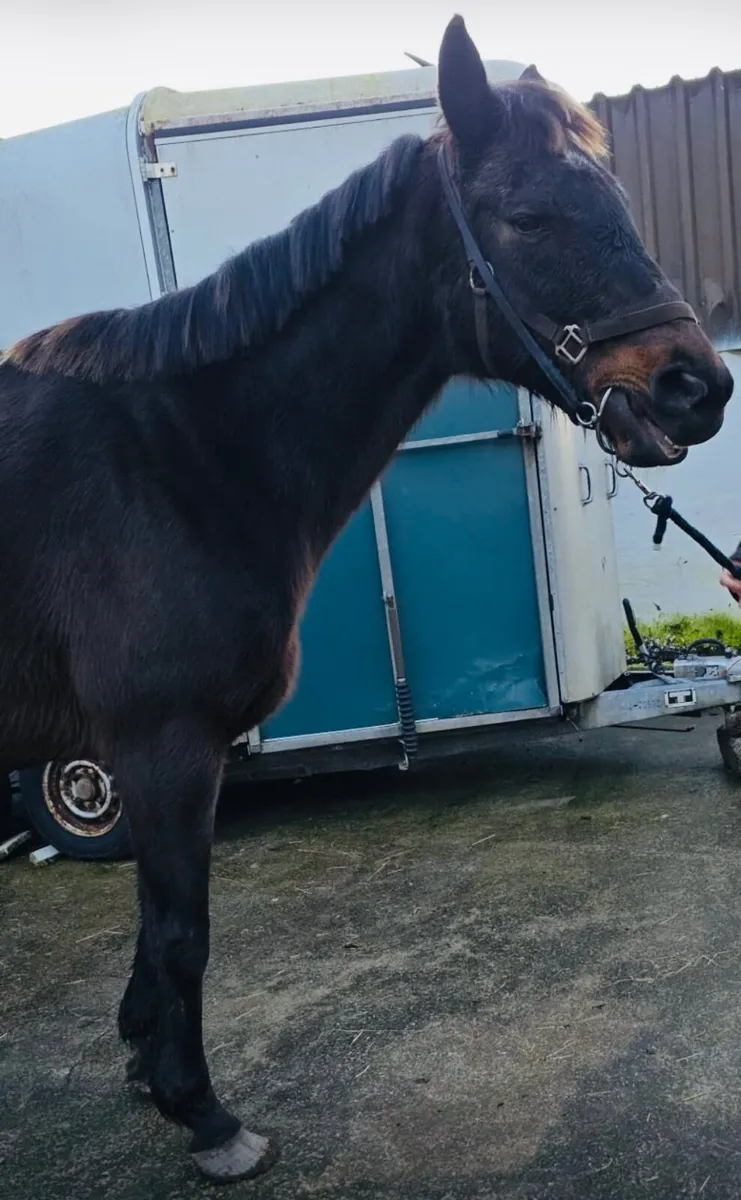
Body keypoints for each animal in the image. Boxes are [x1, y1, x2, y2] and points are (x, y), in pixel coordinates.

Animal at [0, 14, 733, 1184]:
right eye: (526, 216)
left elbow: (155, 928)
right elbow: (181, 929)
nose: (695, 387)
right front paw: (205, 1115)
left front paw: (146, 1067)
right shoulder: (162, 745)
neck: (171, 454)